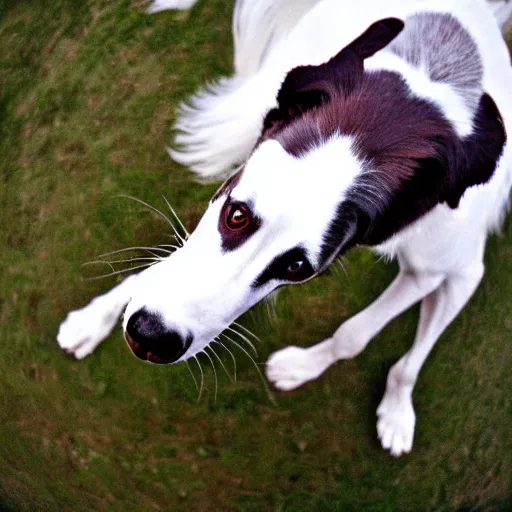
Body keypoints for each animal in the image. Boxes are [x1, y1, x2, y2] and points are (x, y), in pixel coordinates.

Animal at [57, 0, 512, 456]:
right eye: (236, 214)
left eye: (297, 269)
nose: (151, 337)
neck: (408, 108)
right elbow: (166, 266)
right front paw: (95, 317)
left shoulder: (445, 269)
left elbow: (359, 336)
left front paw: (366, 395)